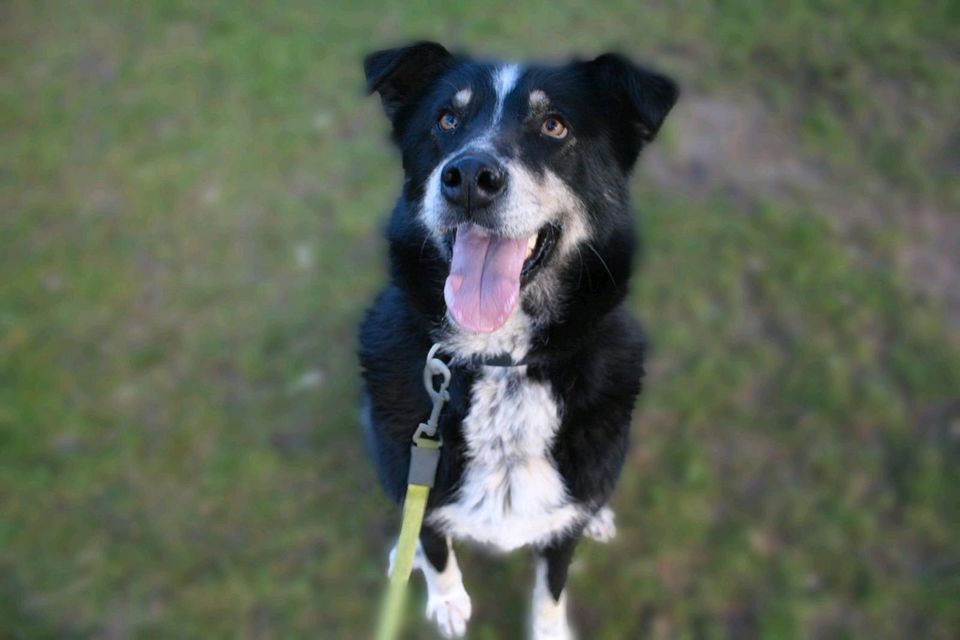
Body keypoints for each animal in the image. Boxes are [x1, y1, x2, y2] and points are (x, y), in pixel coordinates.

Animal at [356, 42, 680, 636]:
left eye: (554, 125)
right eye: (447, 119)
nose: (467, 176)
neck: (503, 362)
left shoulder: (561, 526)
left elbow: (552, 587)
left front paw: (550, 627)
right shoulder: (422, 484)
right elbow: (434, 545)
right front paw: (446, 601)